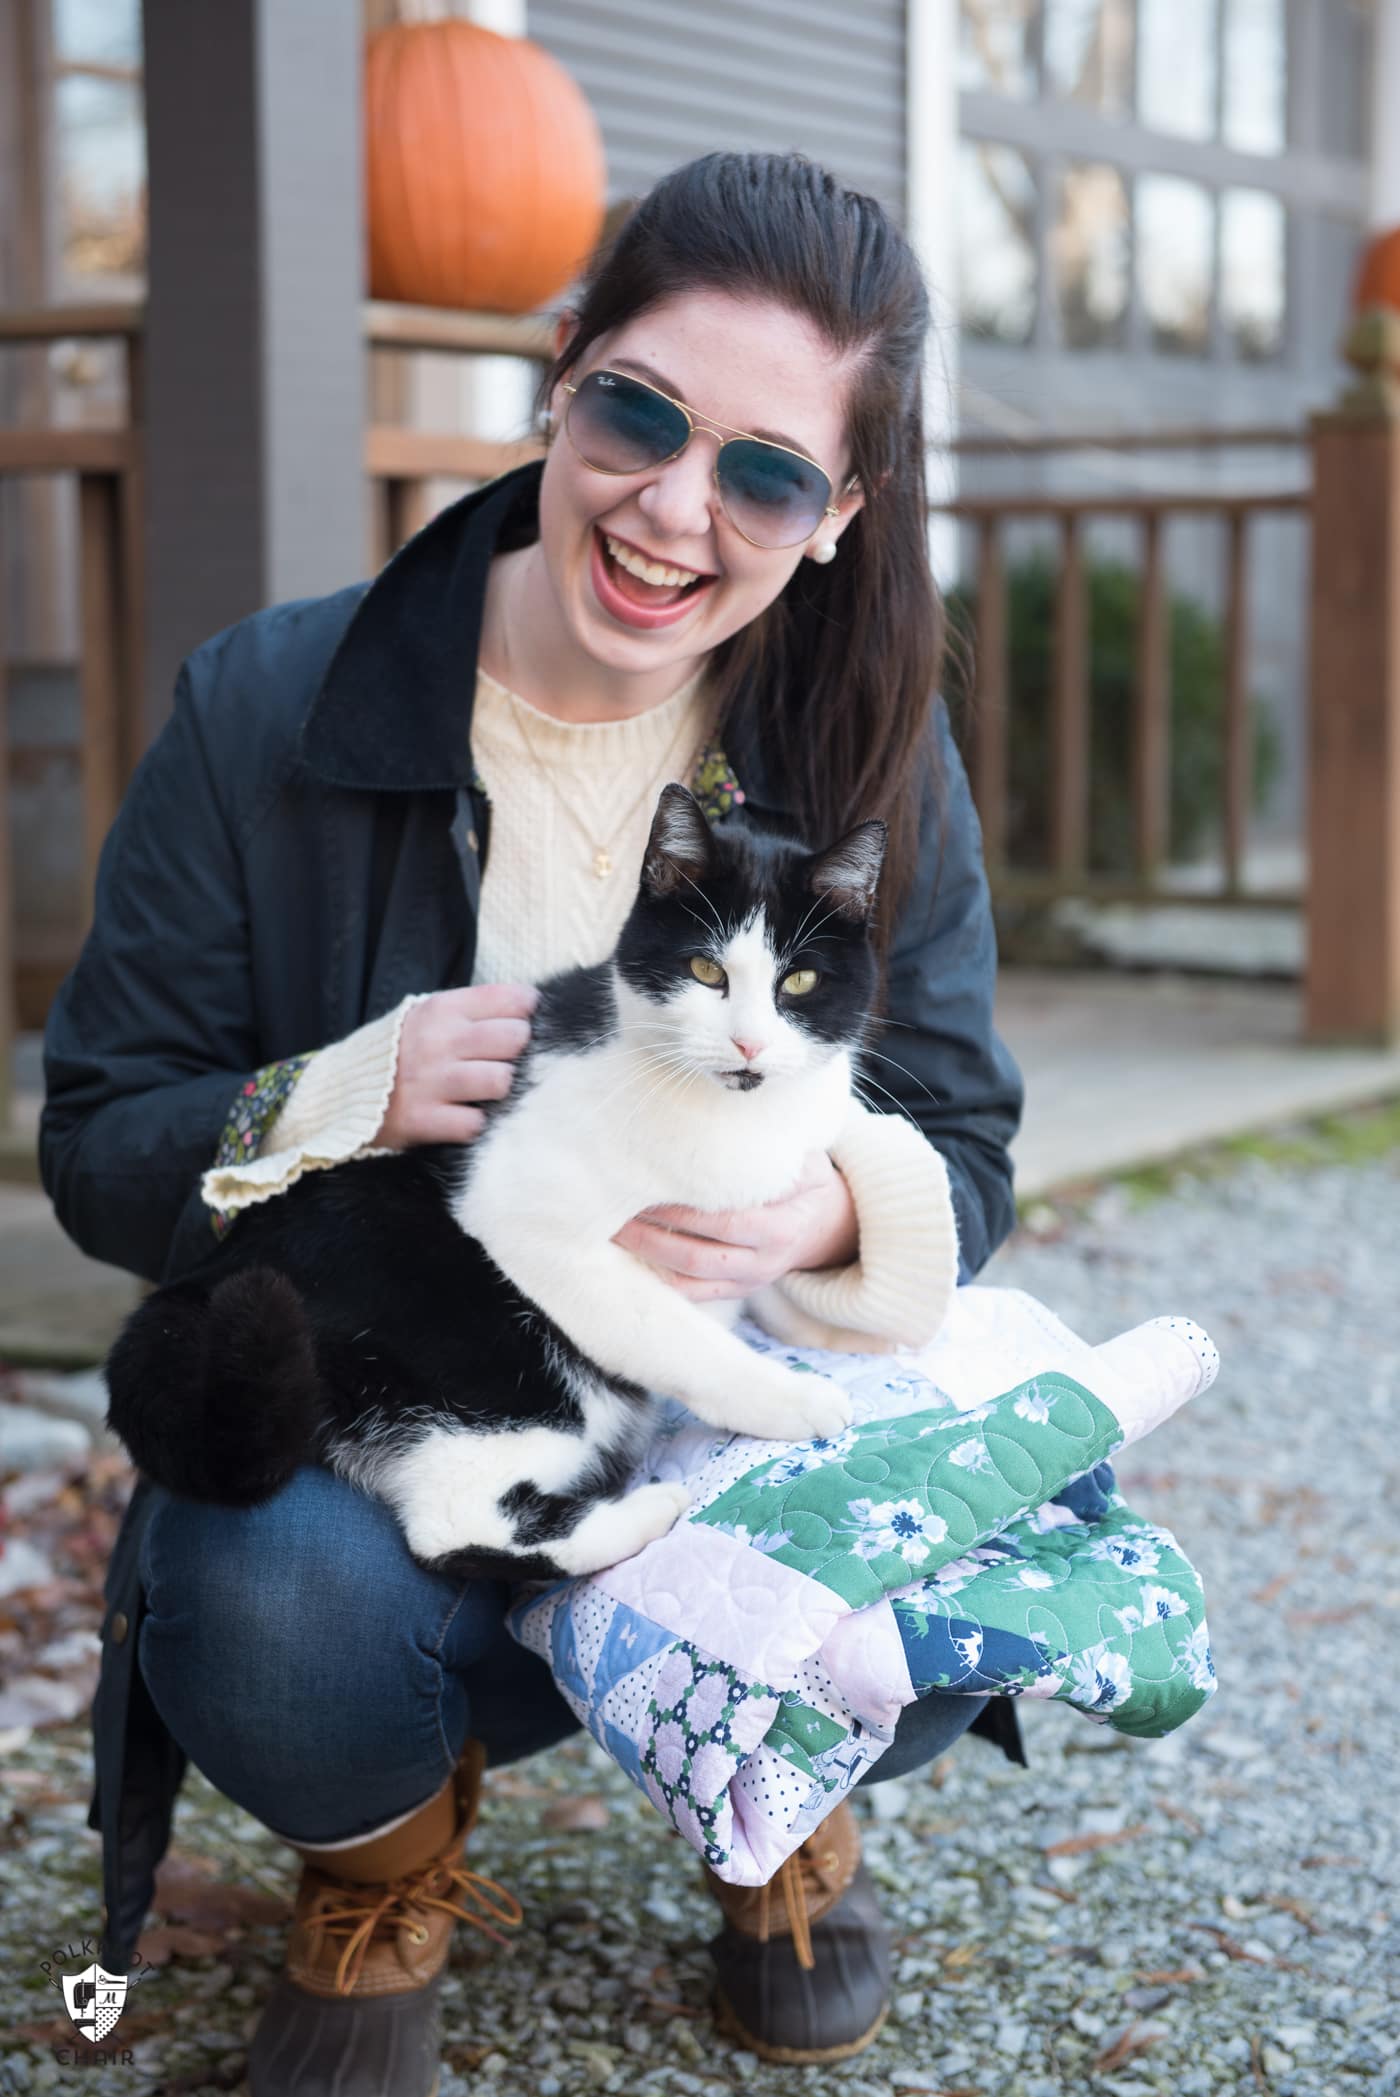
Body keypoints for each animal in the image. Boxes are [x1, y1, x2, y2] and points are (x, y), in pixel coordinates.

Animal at [106, 788, 884, 1576]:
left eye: (800, 981)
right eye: (704, 970)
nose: (748, 1043)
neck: (735, 1118)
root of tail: (202, 1282)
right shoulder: (526, 1221)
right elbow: (674, 1333)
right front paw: (791, 1396)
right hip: (486, 1355)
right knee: (453, 1523)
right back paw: (649, 1508)